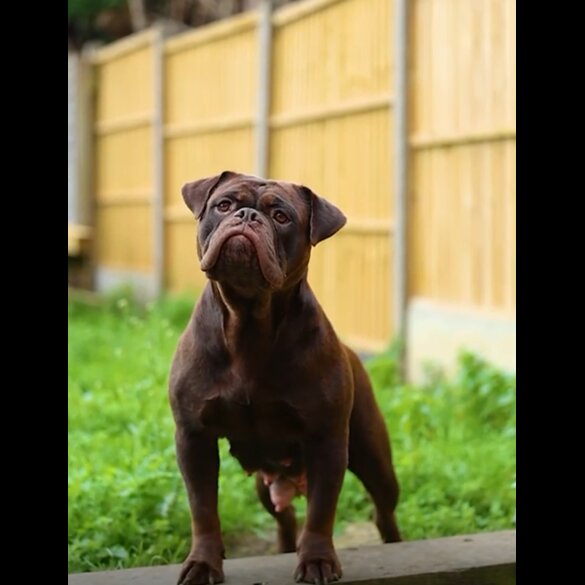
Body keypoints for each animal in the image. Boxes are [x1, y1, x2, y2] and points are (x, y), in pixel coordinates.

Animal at [167, 171, 400, 580]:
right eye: (224, 204)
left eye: (281, 216)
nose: (247, 215)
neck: (249, 322)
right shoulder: (193, 438)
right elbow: (204, 511)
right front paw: (202, 564)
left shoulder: (326, 440)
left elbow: (321, 513)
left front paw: (317, 560)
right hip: (266, 484)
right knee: (285, 516)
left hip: (374, 460)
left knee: (382, 509)